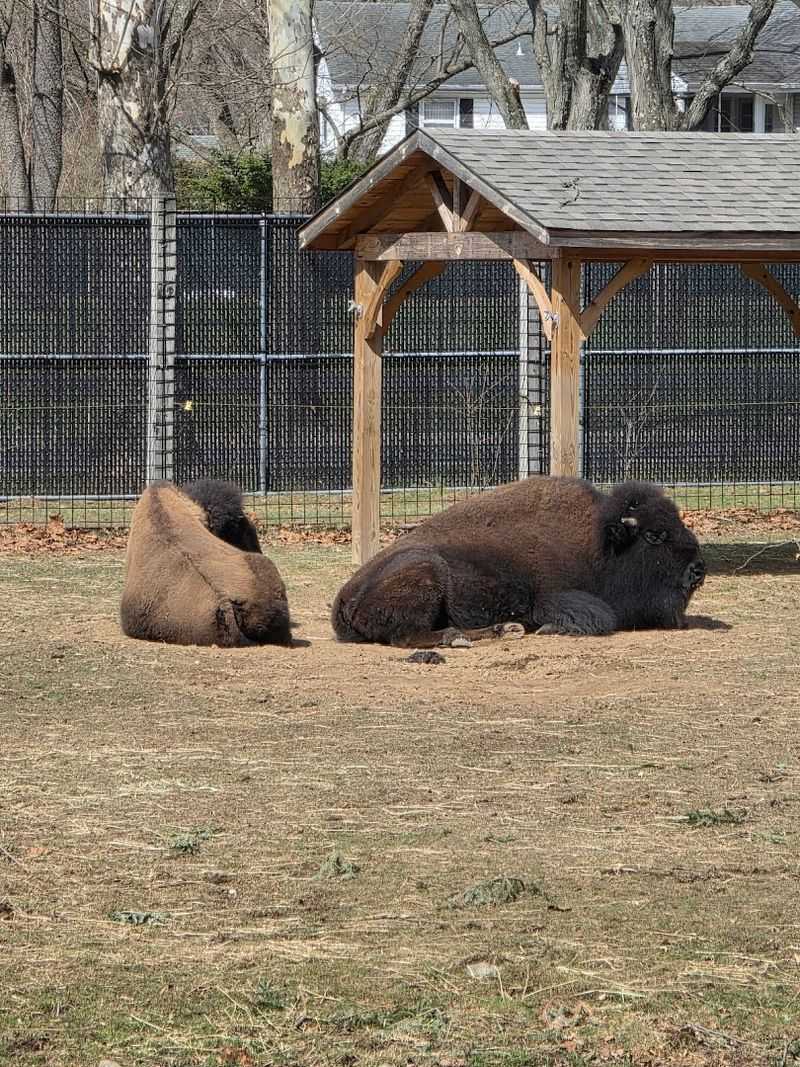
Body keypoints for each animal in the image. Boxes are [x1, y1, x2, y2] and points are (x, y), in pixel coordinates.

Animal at [332, 476, 706, 647]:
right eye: (654, 535)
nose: (698, 570)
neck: (604, 544)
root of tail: (343, 598)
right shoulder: (557, 597)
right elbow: (599, 617)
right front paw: (549, 628)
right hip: (427, 572)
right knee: (406, 635)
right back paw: (458, 637)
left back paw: (504, 629)